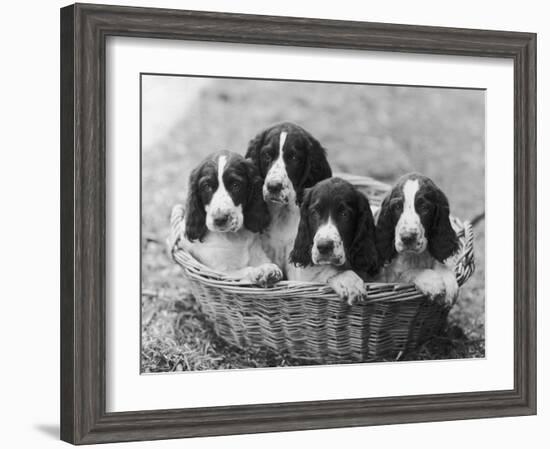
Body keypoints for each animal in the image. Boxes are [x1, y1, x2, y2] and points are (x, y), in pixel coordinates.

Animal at [174, 149, 284, 286]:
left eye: (236, 185)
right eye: (207, 186)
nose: (220, 219)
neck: (234, 238)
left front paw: (268, 268)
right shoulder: (220, 271)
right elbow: (243, 271)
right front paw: (261, 271)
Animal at [378, 172, 464, 304]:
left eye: (424, 207)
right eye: (397, 207)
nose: (407, 238)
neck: (414, 257)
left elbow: (439, 263)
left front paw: (449, 281)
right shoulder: (388, 279)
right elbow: (406, 273)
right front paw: (432, 281)